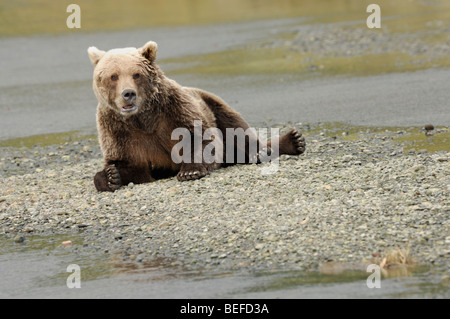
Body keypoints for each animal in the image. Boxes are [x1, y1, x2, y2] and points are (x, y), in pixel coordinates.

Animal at [88, 42, 306, 192]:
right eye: (113, 76)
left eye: (136, 74)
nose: (128, 94)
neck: (141, 118)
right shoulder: (120, 132)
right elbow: (129, 164)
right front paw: (110, 176)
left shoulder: (173, 110)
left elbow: (200, 139)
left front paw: (190, 171)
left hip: (212, 103)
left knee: (236, 127)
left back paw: (281, 144)